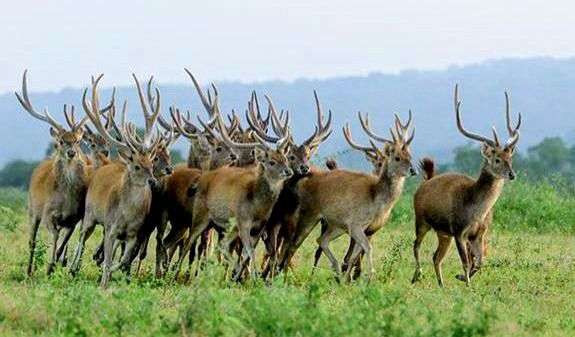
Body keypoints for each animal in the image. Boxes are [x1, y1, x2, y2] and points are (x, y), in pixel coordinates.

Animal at [14, 69, 112, 274]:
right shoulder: (47, 214)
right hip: (31, 209)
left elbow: (64, 240)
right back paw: (29, 270)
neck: (66, 200)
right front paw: (51, 265)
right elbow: (54, 236)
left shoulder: (74, 218)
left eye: (77, 140)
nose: (71, 152)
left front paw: (57, 263)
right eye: (60, 141)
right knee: (31, 241)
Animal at [71, 73, 164, 286]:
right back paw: (73, 267)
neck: (127, 215)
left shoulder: (133, 233)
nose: (153, 182)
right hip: (90, 214)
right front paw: (103, 282)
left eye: (151, 164)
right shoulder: (112, 226)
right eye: (137, 166)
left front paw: (115, 272)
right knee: (81, 237)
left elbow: (124, 259)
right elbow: (108, 259)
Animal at [278, 109, 416, 278]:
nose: (413, 170)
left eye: (410, 156)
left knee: (321, 240)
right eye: (397, 158)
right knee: (292, 245)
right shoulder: (355, 224)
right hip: (308, 215)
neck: (375, 199)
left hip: (334, 224)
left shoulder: (362, 227)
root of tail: (301, 180)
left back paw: (335, 272)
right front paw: (370, 276)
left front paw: (349, 279)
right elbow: (366, 248)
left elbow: (354, 256)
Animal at [410, 84, 520, 286]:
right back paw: (417, 276)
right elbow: (466, 262)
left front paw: (461, 278)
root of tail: (426, 182)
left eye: (510, 158)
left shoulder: (479, 234)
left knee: (436, 256)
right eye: (497, 159)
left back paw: (441, 285)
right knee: (416, 245)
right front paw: (467, 285)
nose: (512, 174)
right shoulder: (459, 230)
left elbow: (479, 262)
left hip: (443, 233)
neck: (476, 211)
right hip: (421, 220)